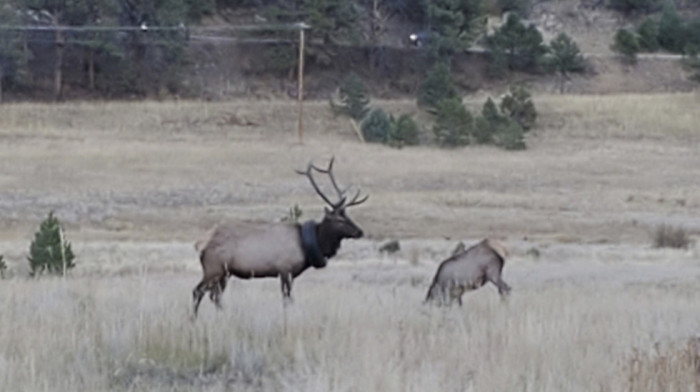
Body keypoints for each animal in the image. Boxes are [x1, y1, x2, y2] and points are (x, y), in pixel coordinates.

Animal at [191, 156, 366, 316]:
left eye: (348, 216)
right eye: (339, 220)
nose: (360, 232)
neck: (305, 246)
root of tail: (200, 244)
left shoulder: (288, 273)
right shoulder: (285, 269)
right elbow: (287, 299)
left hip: (224, 273)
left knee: (215, 297)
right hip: (214, 268)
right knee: (197, 291)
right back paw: (193, 320)